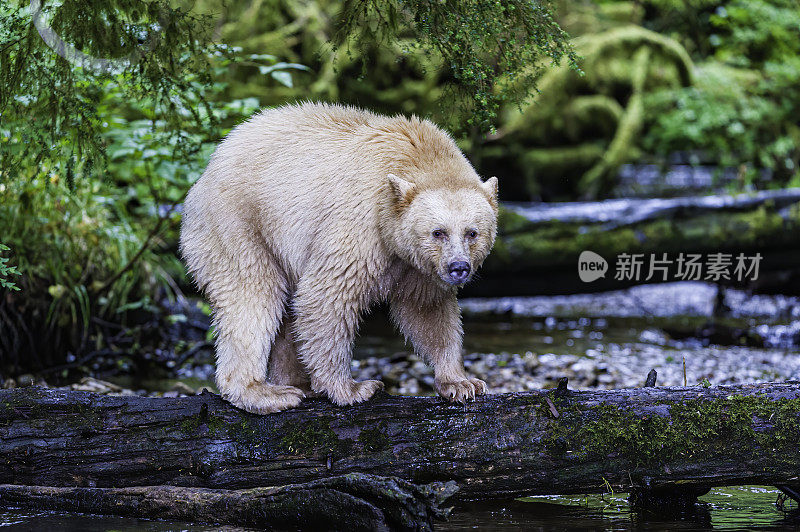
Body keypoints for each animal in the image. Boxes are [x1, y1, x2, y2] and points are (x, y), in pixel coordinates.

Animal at [179, 102, 496, 414]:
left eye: (472, 232)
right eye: (438, 232)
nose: (458, 267)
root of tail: (208, 169)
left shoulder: (417, 267)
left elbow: (428, 311)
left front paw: (461, 383)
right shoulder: (360, 223)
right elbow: (327, 296)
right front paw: (353, 389)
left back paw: (298, 384)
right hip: (239, 226)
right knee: (253, 296)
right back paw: (263, 393)